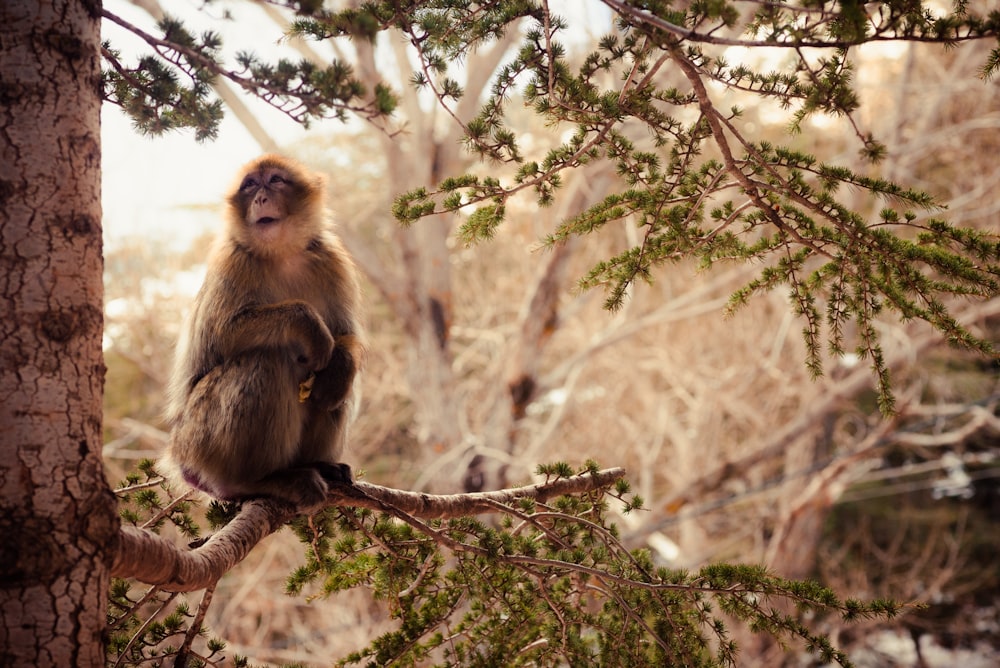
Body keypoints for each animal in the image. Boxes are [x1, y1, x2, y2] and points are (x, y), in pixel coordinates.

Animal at [166, 153, 366, 506]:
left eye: (275, 180)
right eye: (249, 185)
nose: (260, 197)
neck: (282, 253)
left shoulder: (333, 260)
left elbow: (346, 333)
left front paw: (340, 363)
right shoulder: (232, 261)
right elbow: (223, 334)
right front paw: (308, 324)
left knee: (337, 388)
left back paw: (320, 462)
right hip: (198, 439)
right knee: (265, 360)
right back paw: (257, 481)